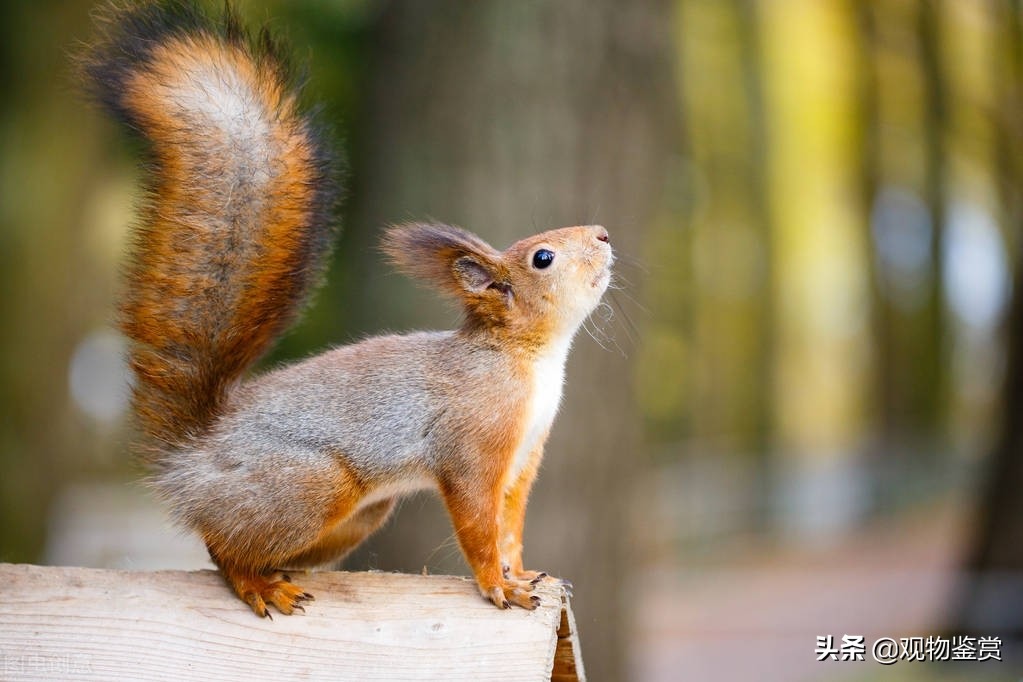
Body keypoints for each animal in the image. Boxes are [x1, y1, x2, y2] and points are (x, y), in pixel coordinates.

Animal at [83, 1, 609, 617]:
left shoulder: (524, 459)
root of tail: (194, 460)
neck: (530, 358)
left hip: (357, 515)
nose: (603, 235)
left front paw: (523, 574)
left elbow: (510, 526)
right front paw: (497, 585)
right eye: (543, 258)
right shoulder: (472, 447)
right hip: (312, 486)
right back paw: (259, 585)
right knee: (224, 549)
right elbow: (478, 523)